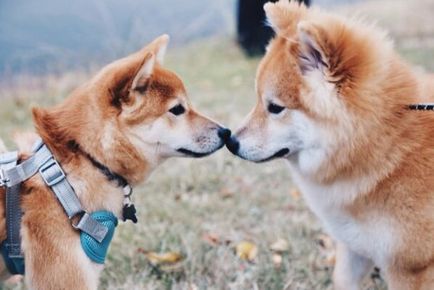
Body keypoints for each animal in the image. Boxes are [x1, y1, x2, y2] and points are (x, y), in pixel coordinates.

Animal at [225, 1, 434, 288]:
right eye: (258, 101)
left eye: (275, 107)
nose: (230, 141)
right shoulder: (354, 246)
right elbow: (342, 279)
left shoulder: (410, 268)